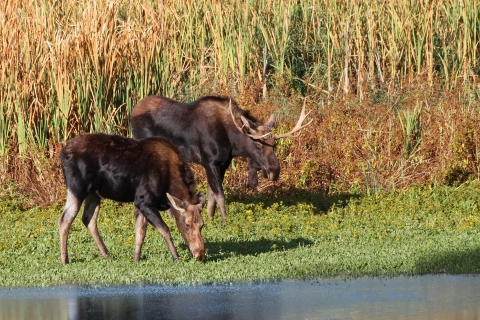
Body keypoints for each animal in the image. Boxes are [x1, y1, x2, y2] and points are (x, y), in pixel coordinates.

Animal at [57, 134, 204, 264]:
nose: (200, 254)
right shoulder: (144, 200)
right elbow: (165, 229)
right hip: (76, 187)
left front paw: (136, 259)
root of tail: (62, 152)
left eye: (202, 225)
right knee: (65, 218)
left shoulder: (142, 203)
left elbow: (140, 233)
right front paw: (176, 257)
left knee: (88, 219)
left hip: (93, 193)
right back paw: (65, 259)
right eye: (187, 224)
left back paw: (106, 255)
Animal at [131, 95, 312, 221]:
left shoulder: (223, 164)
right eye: (258, 145)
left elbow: (212, 195)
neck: (232, 141)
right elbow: (220, 195)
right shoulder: (209, 162)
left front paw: (211, 218)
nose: (275, 171)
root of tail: (132, 111)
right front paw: (225, 220)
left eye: (274, 144)